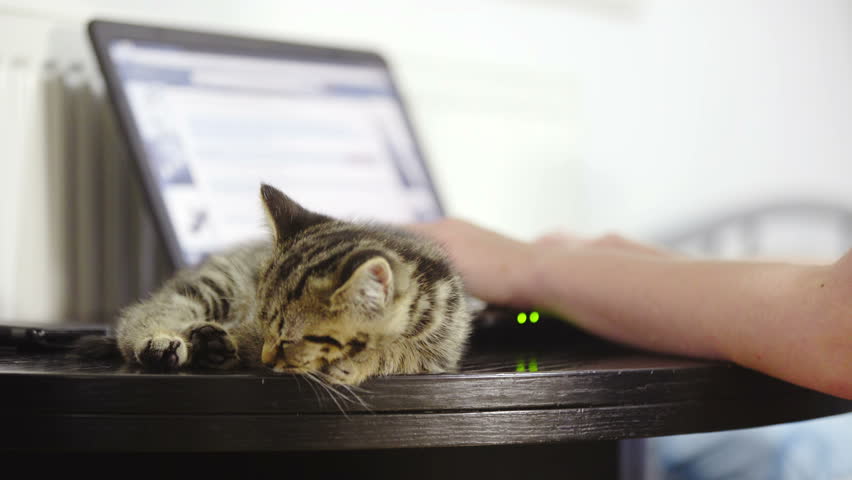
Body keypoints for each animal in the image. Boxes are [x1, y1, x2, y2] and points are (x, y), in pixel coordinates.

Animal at [80, 184, 472, 386]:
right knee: (144, 313)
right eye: (267, 326)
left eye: (289, 338)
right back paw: (165, 343)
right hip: (217, 283)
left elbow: (404, 354)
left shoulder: (441, 352)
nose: (268, 358)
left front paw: (364, 358)